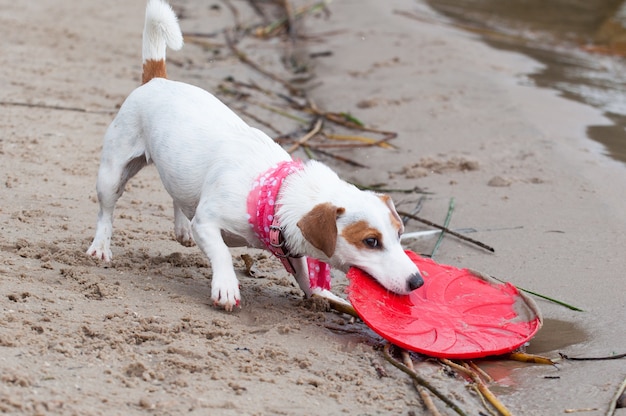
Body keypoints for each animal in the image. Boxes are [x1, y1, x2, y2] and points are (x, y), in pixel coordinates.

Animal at [85, 0, 422, 308]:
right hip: (113, 172)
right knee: (106, 212)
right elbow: (221, 251)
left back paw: (180, 228)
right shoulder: (206, 223)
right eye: (370, 241)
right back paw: (101, 246)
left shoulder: (290, 250)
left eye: (400, 234)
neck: (274, 193)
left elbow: (305, 278)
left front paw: (323, 296)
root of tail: (157, 79)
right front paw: (226, 285)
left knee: (177, 196)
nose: (417, 281)